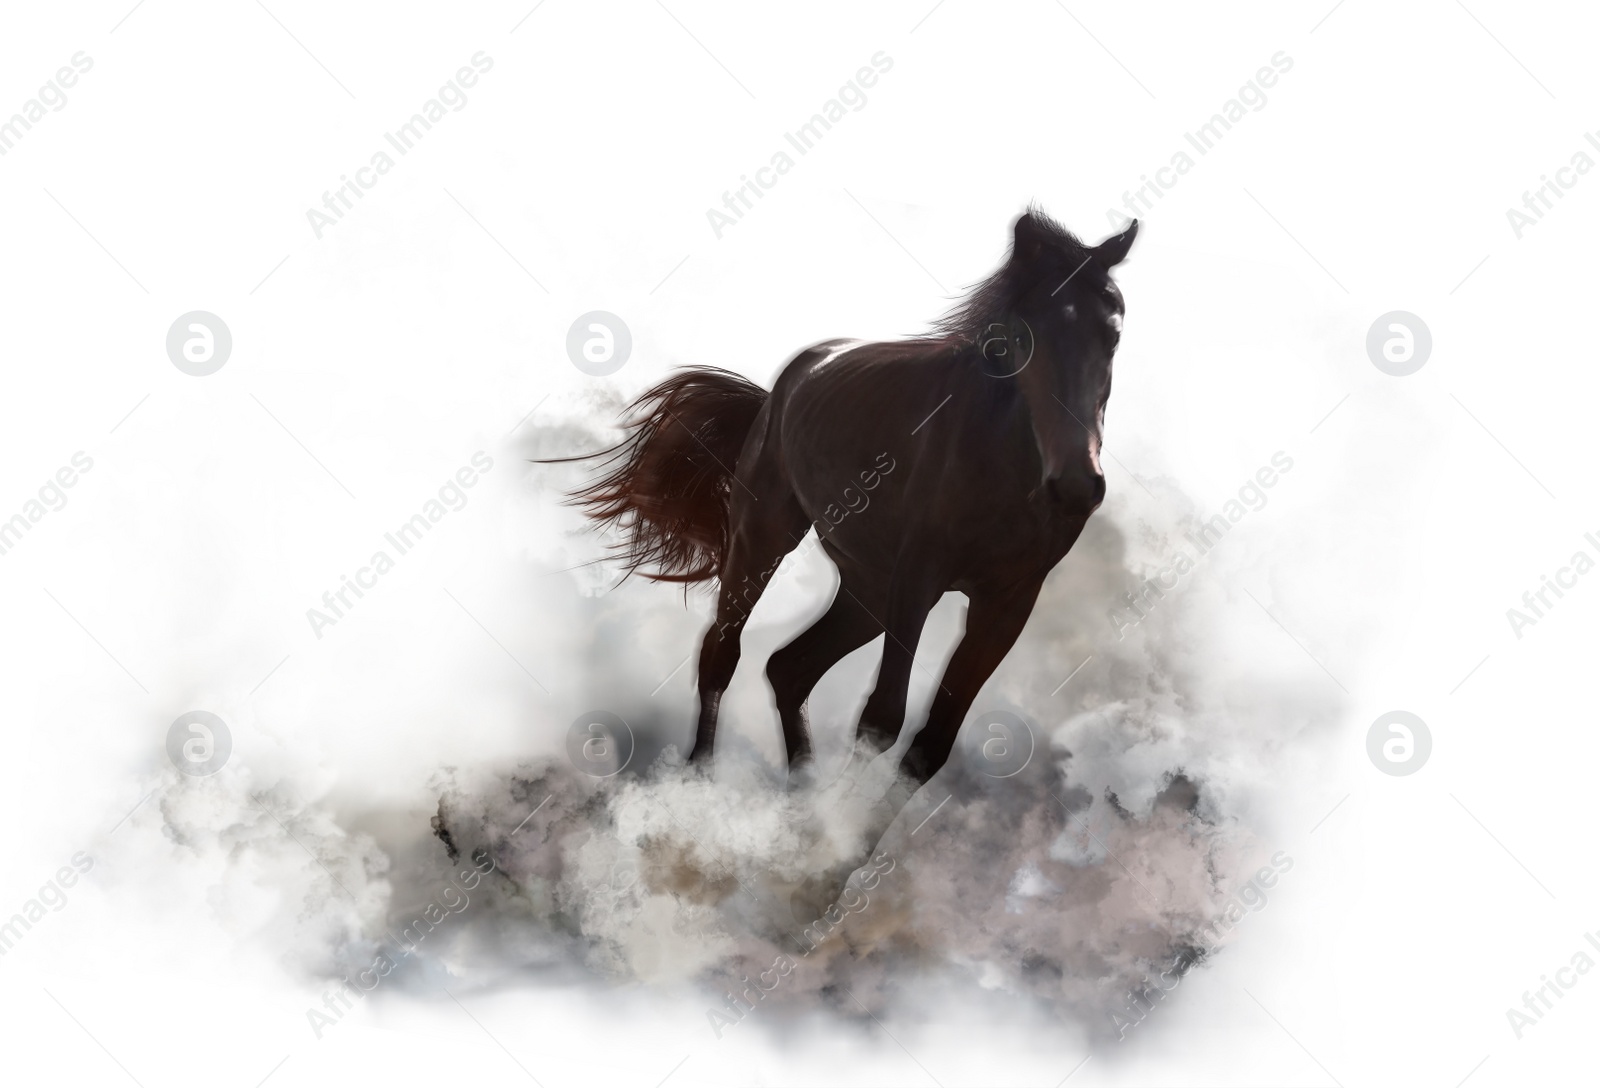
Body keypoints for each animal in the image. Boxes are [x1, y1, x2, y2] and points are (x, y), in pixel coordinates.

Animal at [563, 209, 1139, 806]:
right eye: (1021, 336)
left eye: (1113, 333)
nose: (1076, 486)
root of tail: (779, 390)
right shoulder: (918, 578)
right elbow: (882, 719)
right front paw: (835, 830)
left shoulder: (1008, 603)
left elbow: (930, 745)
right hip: (764, 537)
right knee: (722, 653)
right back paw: (701, 789)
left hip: (867, 587)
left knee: (789, 668)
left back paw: (799, 797)